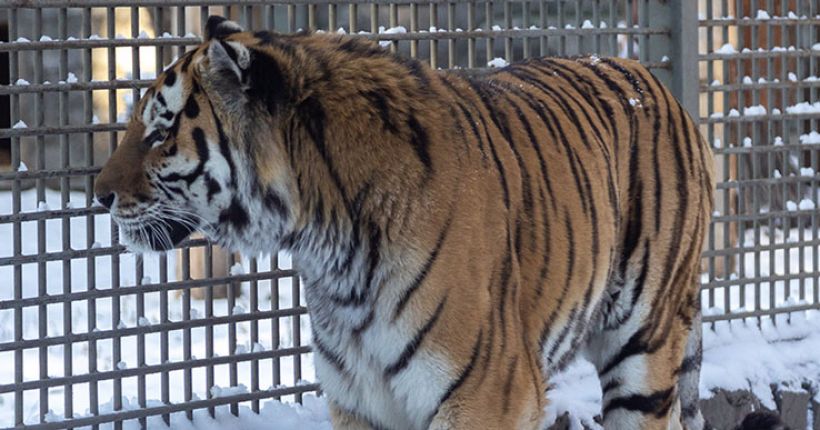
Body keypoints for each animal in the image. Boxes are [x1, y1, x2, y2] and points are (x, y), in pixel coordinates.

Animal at [94, 15, 716, 430]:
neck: (328, 250)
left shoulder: (489, 393)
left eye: (160, 132)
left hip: (644, 350)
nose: (98, 196)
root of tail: (649, 77)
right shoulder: (359, 401)